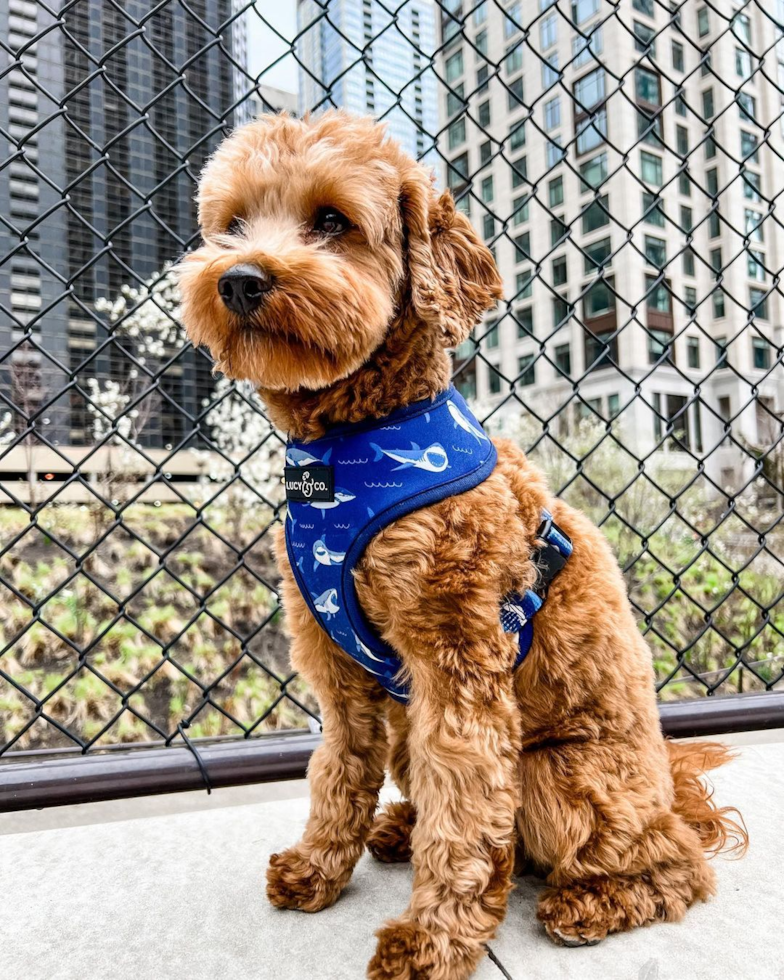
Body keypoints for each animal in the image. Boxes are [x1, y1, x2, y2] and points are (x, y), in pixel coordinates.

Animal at [178, 111, 748, 980]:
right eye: (234, 224)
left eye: (332, 221)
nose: (239, 280)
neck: (352, 445)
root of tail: (670, 789)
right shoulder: (337, 670)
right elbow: (337, 771)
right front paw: (319, 867)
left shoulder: (459, 669)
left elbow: (468, 812)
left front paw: (433, 939)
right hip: (411, 729)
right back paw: (396, 830)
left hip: (558, 771)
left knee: (672, 863)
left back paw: (593, 900)